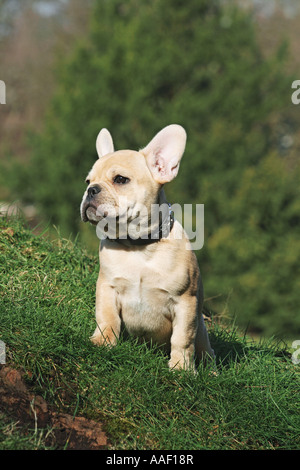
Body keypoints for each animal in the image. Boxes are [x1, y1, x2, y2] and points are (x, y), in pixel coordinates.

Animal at [81, 125, 214, 370]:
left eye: (120, 179)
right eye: (87, 181)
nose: (91, 190)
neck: (138, 246)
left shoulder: (186, 303)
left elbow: (182, 338)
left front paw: (181, 369)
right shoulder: (107, 288)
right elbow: (107, 317)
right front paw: (102, 343)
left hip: (201, 330)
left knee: (205, 350)